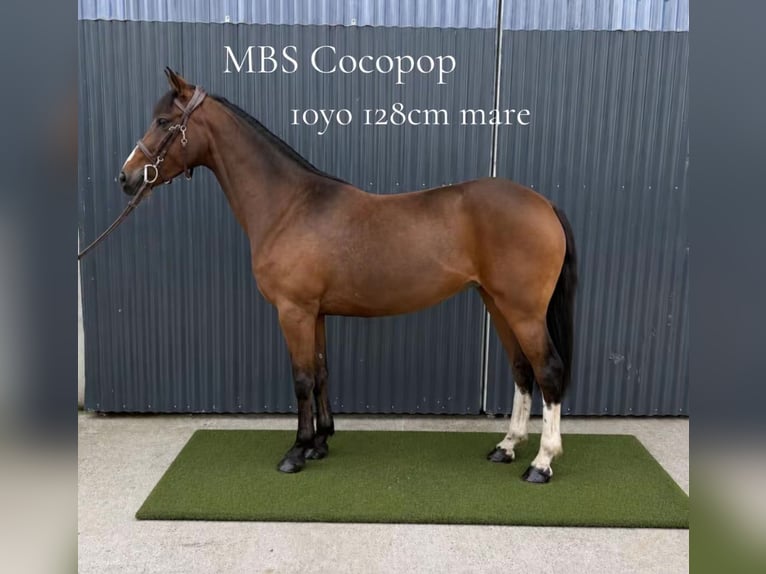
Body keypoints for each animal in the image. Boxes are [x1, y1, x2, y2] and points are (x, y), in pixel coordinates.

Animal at [117, 68, 577, 483]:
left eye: (163, 121)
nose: (127, 176)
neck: (290, 206)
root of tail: (543, 203)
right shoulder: (316, 313)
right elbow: (321, 373)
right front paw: (320, 444)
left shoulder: (294, 312)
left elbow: (302, 379)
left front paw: (296, 452)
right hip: (497, 303)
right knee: (522, 370)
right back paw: (507, 447)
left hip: (523, 311)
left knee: (548, 371)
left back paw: (541, 463)